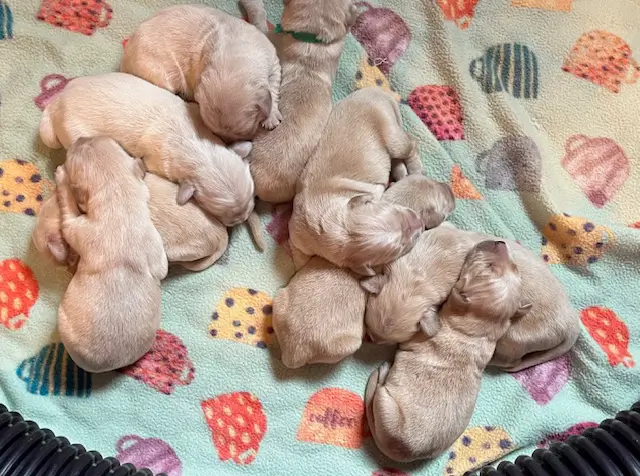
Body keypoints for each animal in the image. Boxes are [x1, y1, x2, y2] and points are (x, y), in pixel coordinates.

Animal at [39, 72, 258, 233]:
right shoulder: (158, 163)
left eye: (251, 197)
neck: (196, 148)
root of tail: (55, 105)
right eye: (223, 215)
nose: (242, 219)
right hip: (73, 134)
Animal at [55, 137, 168, 373]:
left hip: (62, 320)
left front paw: (61, 177)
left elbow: (68, 211)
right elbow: (162, 268)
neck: (118, 196)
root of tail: (108, 365)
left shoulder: (76, 226)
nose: (80, 138)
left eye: (72, 156)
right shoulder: (155, 244)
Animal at [121, 4, 281, 142]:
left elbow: (273, 89)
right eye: (216, 134)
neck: (237, 57)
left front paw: (271, 117)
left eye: (243, 132)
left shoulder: (274, 62)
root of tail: (124, 61)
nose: (229, 143)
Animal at [289, 87, 424, 276]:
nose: (420, 222)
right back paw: (401, 172)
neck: (334, 226)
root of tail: (381, 92)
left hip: (392, 135)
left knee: (411, 144)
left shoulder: (375, 191)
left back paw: (415, 169)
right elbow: (298, 254)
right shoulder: (298, 233)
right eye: (400, 248)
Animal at [365, 240, 531, 462]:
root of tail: (405, 453)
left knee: (376, 394)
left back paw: (382, 372)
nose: (500, 242)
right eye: (515, 269)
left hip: (386, 404)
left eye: (486, 268)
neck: (478, 328)